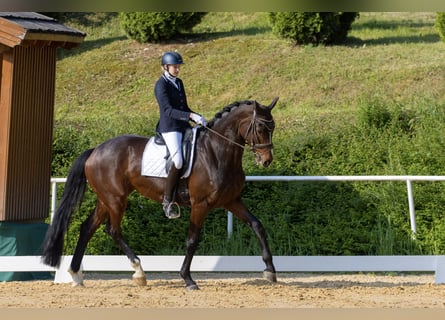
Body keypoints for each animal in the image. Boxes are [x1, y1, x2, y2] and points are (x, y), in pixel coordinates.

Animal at [40, 96, 278, 288]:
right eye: (260, 127)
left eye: (272, 127)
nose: (266, 160)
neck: (217, 152)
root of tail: (95, 150)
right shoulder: (200, 204)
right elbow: (192, 240)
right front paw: (187, 279)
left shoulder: (232, 201)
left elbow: (257, 225)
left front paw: (270, 271)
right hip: (116, 200)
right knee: (113, 230)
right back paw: (139, 272)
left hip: (106, 199)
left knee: (88, 228)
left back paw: (76, 275)